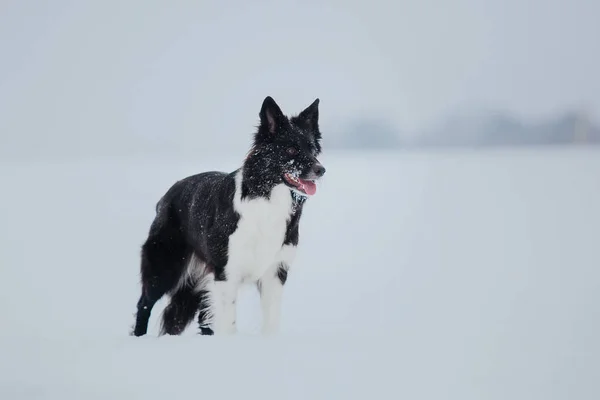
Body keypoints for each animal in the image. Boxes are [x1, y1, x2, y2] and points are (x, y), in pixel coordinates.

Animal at [131, 97, 326, 338]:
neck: (268, 202)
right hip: (165, 266)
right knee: (144, 303)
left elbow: (270, 321)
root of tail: (166, 196)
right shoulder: (227, 273)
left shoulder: (274, 272)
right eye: (290, 149)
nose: (321, 170)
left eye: (312, 149)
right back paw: (139, 337)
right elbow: (229, 323)